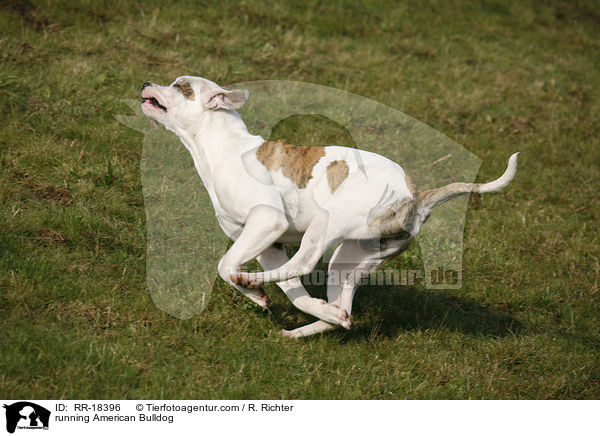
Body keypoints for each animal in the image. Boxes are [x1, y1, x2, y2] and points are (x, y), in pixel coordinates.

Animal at [139, 76, 516, 338]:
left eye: (180, 86)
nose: (145, 83)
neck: (224, 146)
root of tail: (417, 194)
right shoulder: (269, 245)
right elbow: (295, 293)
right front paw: (267, 298)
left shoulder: (267, 222)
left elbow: (225, 265)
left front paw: (249, 287)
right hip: (351, 259)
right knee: (340, 304)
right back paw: (316, 323)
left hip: (326, 223)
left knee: (303, 262)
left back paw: (252, 281)